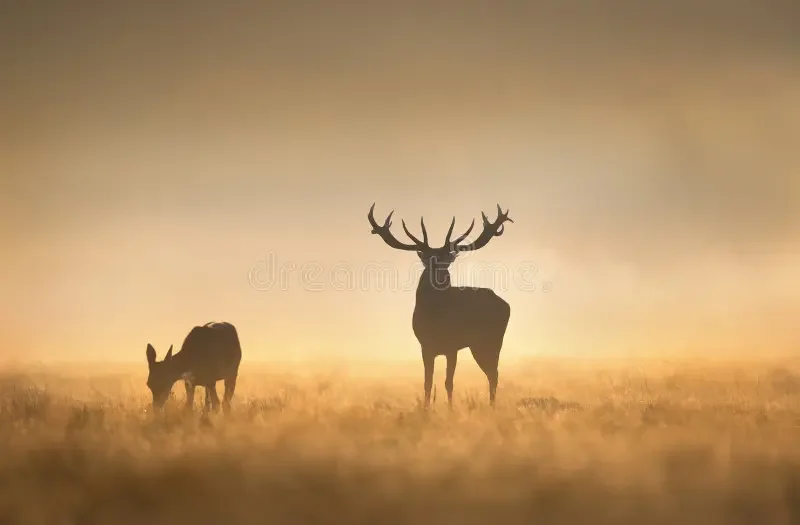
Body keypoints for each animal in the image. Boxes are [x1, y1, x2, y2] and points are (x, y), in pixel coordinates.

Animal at [367, 203, 513, 409]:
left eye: (446, 260)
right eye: (429, 259)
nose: (441, 275)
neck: (435, 317)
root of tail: (505, 304)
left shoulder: (452, 346)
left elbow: (448, 383)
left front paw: (450, 411)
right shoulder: (425, 346)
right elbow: (427, 382)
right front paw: (427, 409)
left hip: (491, 340)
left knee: (493, 373)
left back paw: (492, 407)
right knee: (493, 372)